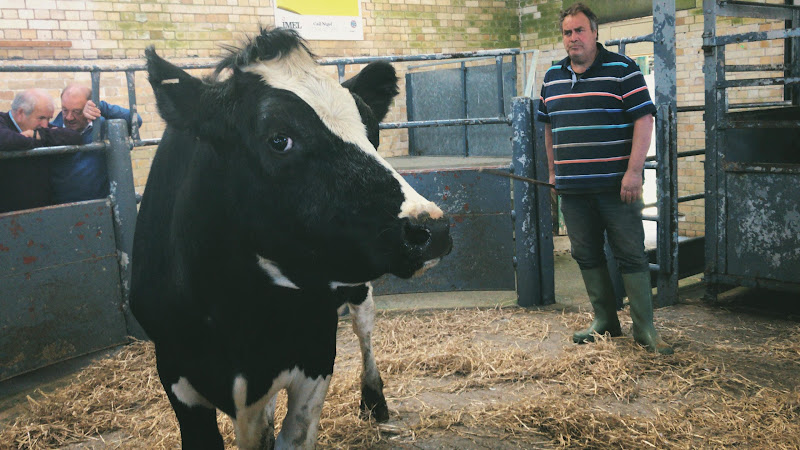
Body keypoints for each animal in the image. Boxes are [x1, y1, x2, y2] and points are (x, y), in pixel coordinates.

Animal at [130, 28, 452, 449]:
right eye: (279, 139)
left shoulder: (316, 354)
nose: (432, 228)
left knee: (364, 328)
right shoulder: (176, 372)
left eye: (373, 131)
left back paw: (374, 400)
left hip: (357, 287)